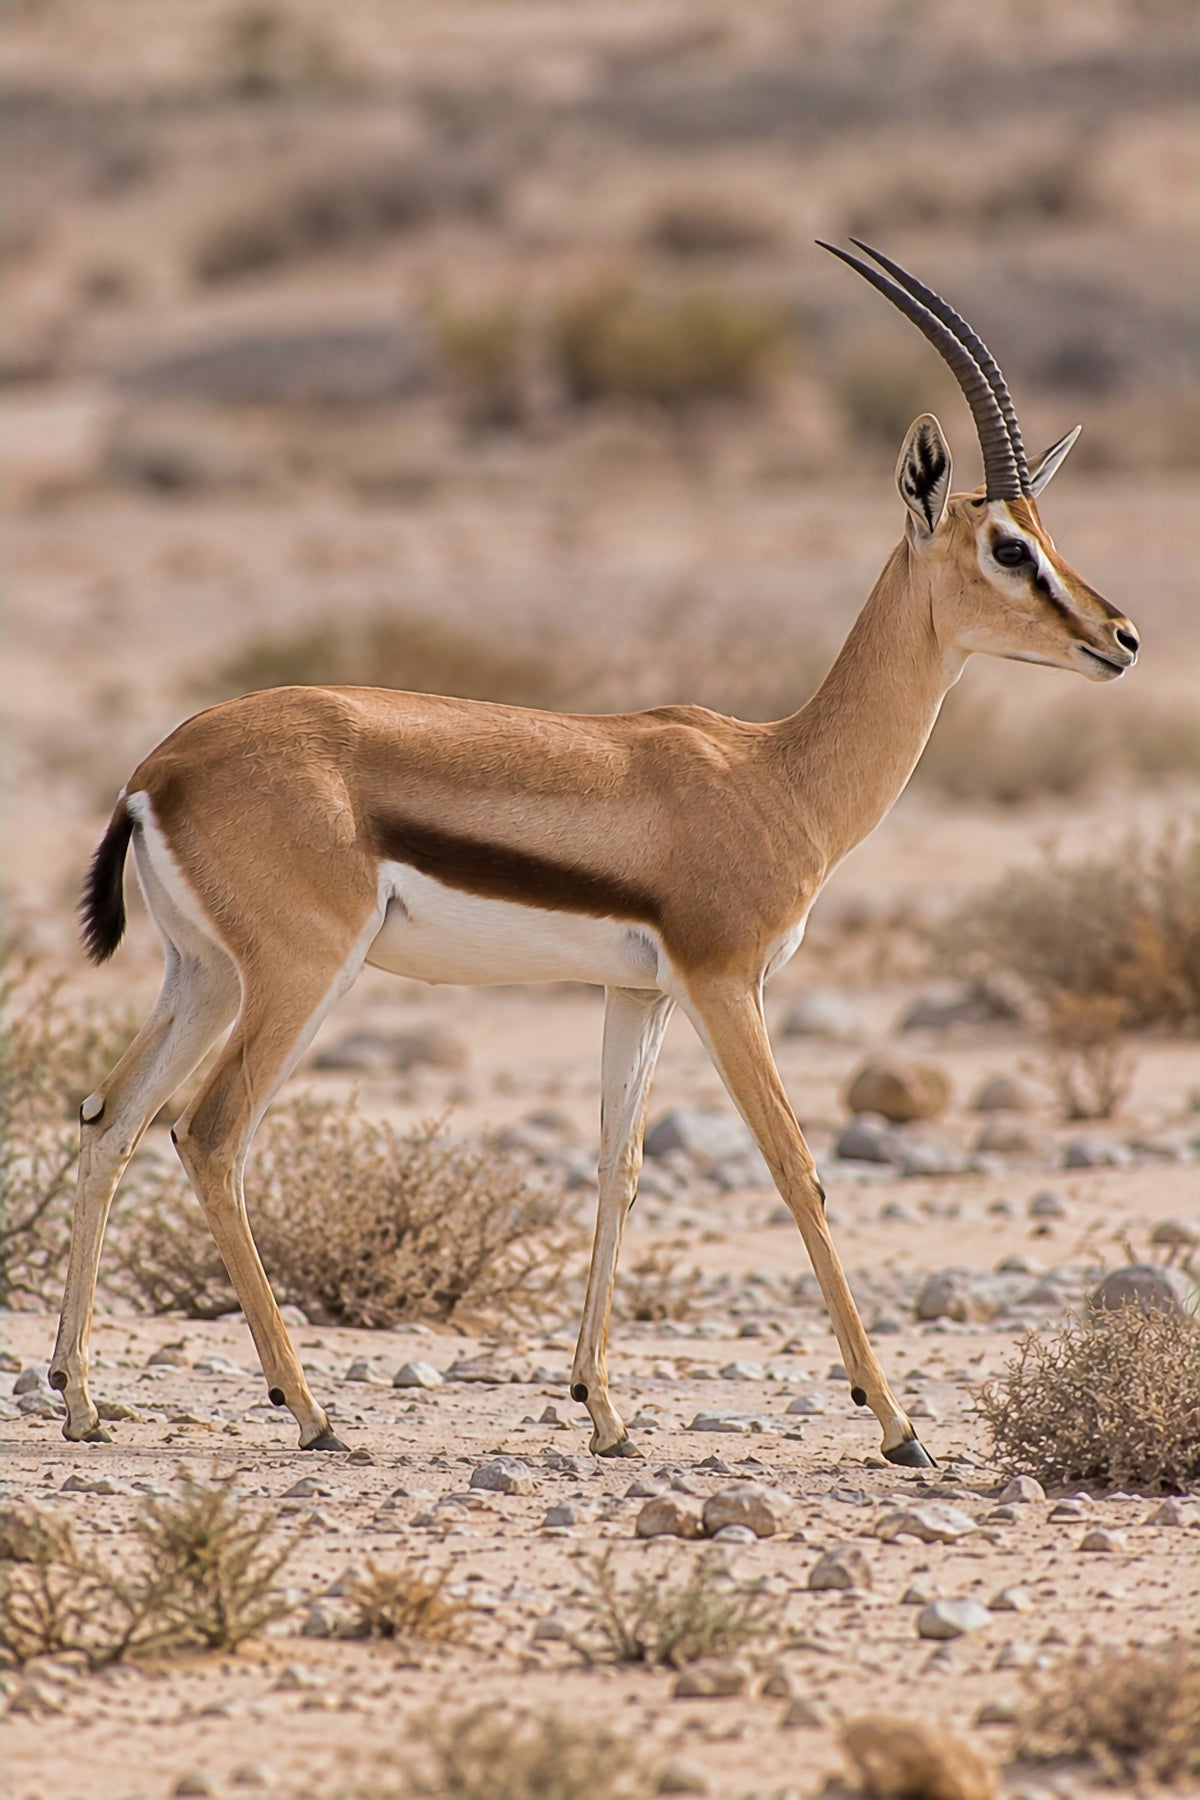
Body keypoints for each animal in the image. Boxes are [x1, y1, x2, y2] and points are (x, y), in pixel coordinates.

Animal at [51, 242, 1139, 1466]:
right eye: (1010, 547)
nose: (1122, 638)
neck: (779, 774)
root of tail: (159, 767)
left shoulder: (642, 995)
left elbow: (619, 1165)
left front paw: (605, 1412)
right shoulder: (726, 984)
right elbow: (795, 1167)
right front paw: (899, 1424)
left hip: (201, 977)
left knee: (110, 1120)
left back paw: (82, 1398)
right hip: (295, 979)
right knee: (209, 1133)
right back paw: (313, 1411)